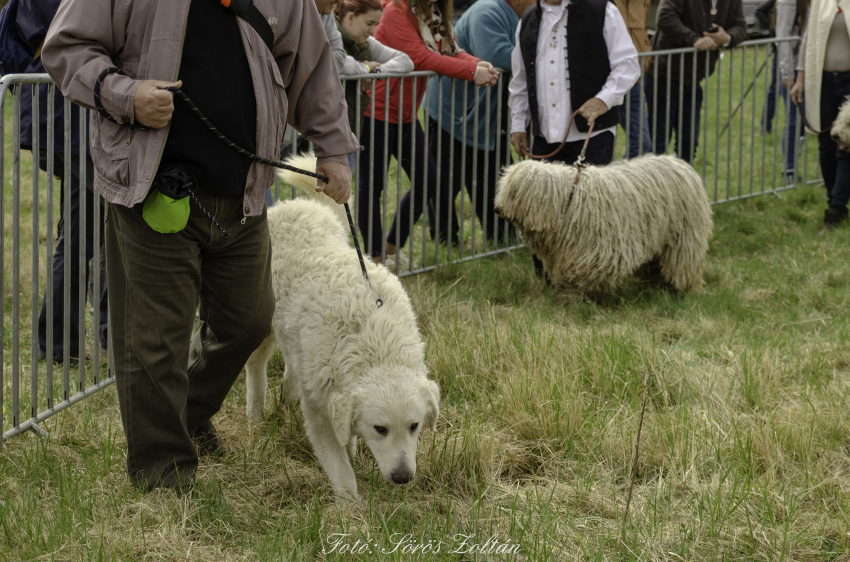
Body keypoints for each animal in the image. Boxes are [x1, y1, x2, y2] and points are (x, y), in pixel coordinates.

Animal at [243, 153, 438, 498]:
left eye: (414, 426)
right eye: (380, 429)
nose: (403, 477)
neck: (374, 342)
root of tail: (296, 205)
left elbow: (347, 434)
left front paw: (352, 451)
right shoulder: (320, 412)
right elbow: (338, 463)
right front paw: (349, 502)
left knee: (293, 368)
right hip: (262, 323)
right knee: (255, 368)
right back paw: (256, 415)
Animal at [494, 153, 712, 294]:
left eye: (513, 192)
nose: (497, 209)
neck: (570, 198)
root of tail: (682, 165)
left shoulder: (602, 249)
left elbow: (586, 269)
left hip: (683, 235)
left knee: (684, 262)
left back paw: (686, 289)